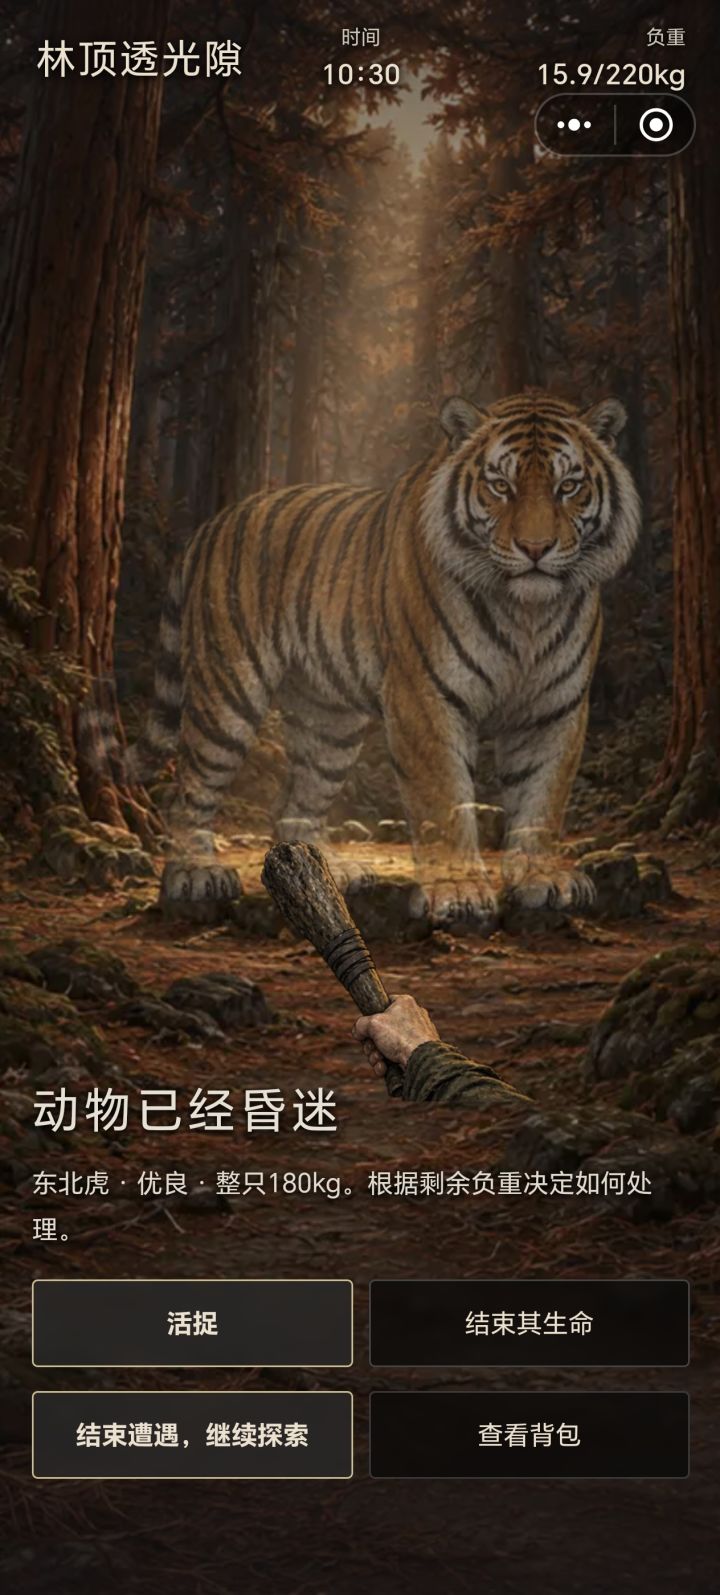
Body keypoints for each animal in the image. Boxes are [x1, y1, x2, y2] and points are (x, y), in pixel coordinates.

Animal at [129, 389, 641, 926]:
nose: (536, 548)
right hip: (227, 692)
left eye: (568, 487)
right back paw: (194, 873)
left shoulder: (555, 707)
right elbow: (443, 795)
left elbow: (542, 796)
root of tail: (211, 524)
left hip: (329, 722)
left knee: (294, 801)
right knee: (189, 788)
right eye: (501, 486)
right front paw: (457, 890)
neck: (527, 614)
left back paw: (327, 873)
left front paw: (541, 878)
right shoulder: (424, 697)